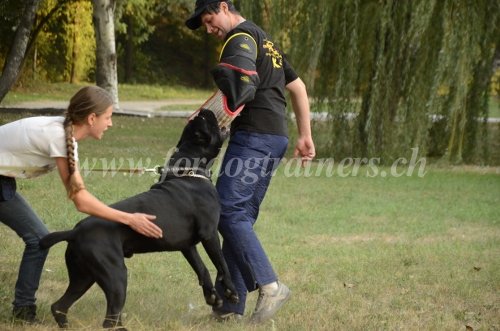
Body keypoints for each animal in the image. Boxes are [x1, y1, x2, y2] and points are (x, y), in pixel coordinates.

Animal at [40, 110, 239, 330]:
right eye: (205, 121)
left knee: (60, 306)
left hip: (83, 277)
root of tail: (74, 232)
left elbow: (202, 269)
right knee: (109, 319)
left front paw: (212, 297)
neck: (188, 173)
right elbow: (222, 264)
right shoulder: (209, 233)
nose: (204, 112)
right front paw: (231, 291)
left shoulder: (187, 246)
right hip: (116, 276)